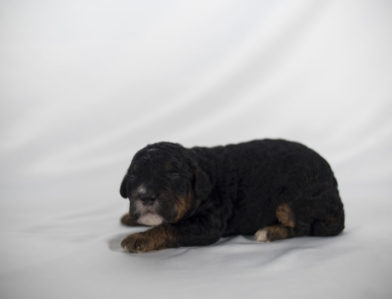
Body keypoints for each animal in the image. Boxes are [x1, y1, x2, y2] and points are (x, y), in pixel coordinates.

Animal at [118, 140, 344, 253]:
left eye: (173, 173)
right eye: (133, 174)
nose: (145, 196)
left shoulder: (207, 224)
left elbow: (169, 227)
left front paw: (139, 239)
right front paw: (129, 217)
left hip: (290, 202)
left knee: (302, 227)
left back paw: (268, 232)